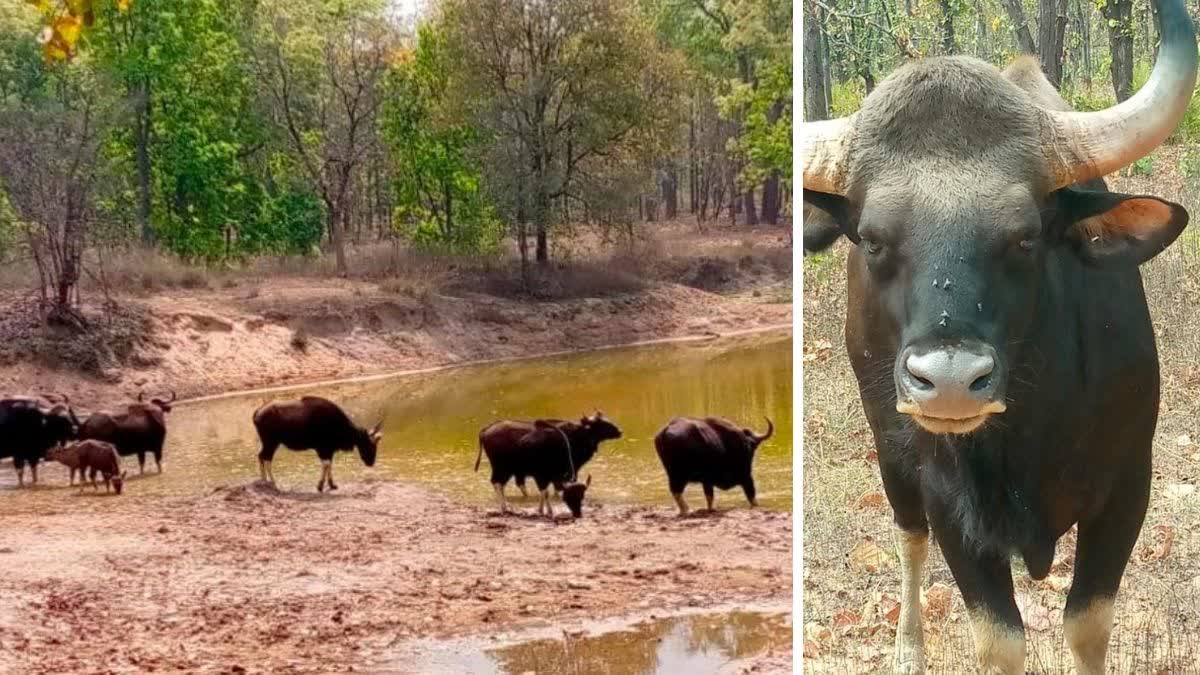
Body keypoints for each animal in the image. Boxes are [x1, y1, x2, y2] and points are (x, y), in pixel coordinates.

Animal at [250, 393, 381, 494]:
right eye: (369, 445)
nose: (371, 462)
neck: (339, 425)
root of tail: (257, 413)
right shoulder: (321, 449)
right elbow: (326, 464)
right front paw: (320, 485)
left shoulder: (329, 450)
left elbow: (329, 465)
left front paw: (332, 484)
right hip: (271, 442)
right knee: (265, 458)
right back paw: (271, 482)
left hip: (270, 443)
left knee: (262, 456)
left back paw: (265, 481)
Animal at [472, 410, 619, 514]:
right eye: (602, 424)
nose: (620, 431)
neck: (576, 435)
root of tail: (485, 430)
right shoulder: (564, 471)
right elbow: (553, 489)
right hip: (501, 468)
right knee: (497, 483)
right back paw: (505, 506)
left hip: (508, 470)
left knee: (505, 485)